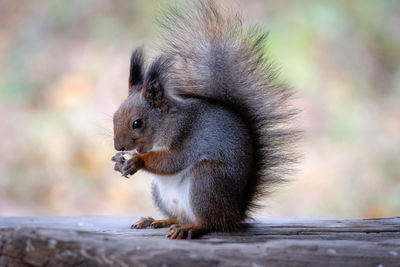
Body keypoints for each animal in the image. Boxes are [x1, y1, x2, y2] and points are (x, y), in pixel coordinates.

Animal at [111, 0, 298, 241]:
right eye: (114, 116)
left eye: (137, 123)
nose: (118, 146)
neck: (167, 121)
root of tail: (235, 212)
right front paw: (120, 162)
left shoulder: (186, 135)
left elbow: (171, 161)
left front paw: (136, 161)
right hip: (163, 194)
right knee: (180, 216)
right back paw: (158, 221)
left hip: (207, 180)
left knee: (210, 222)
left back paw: (190, 228)